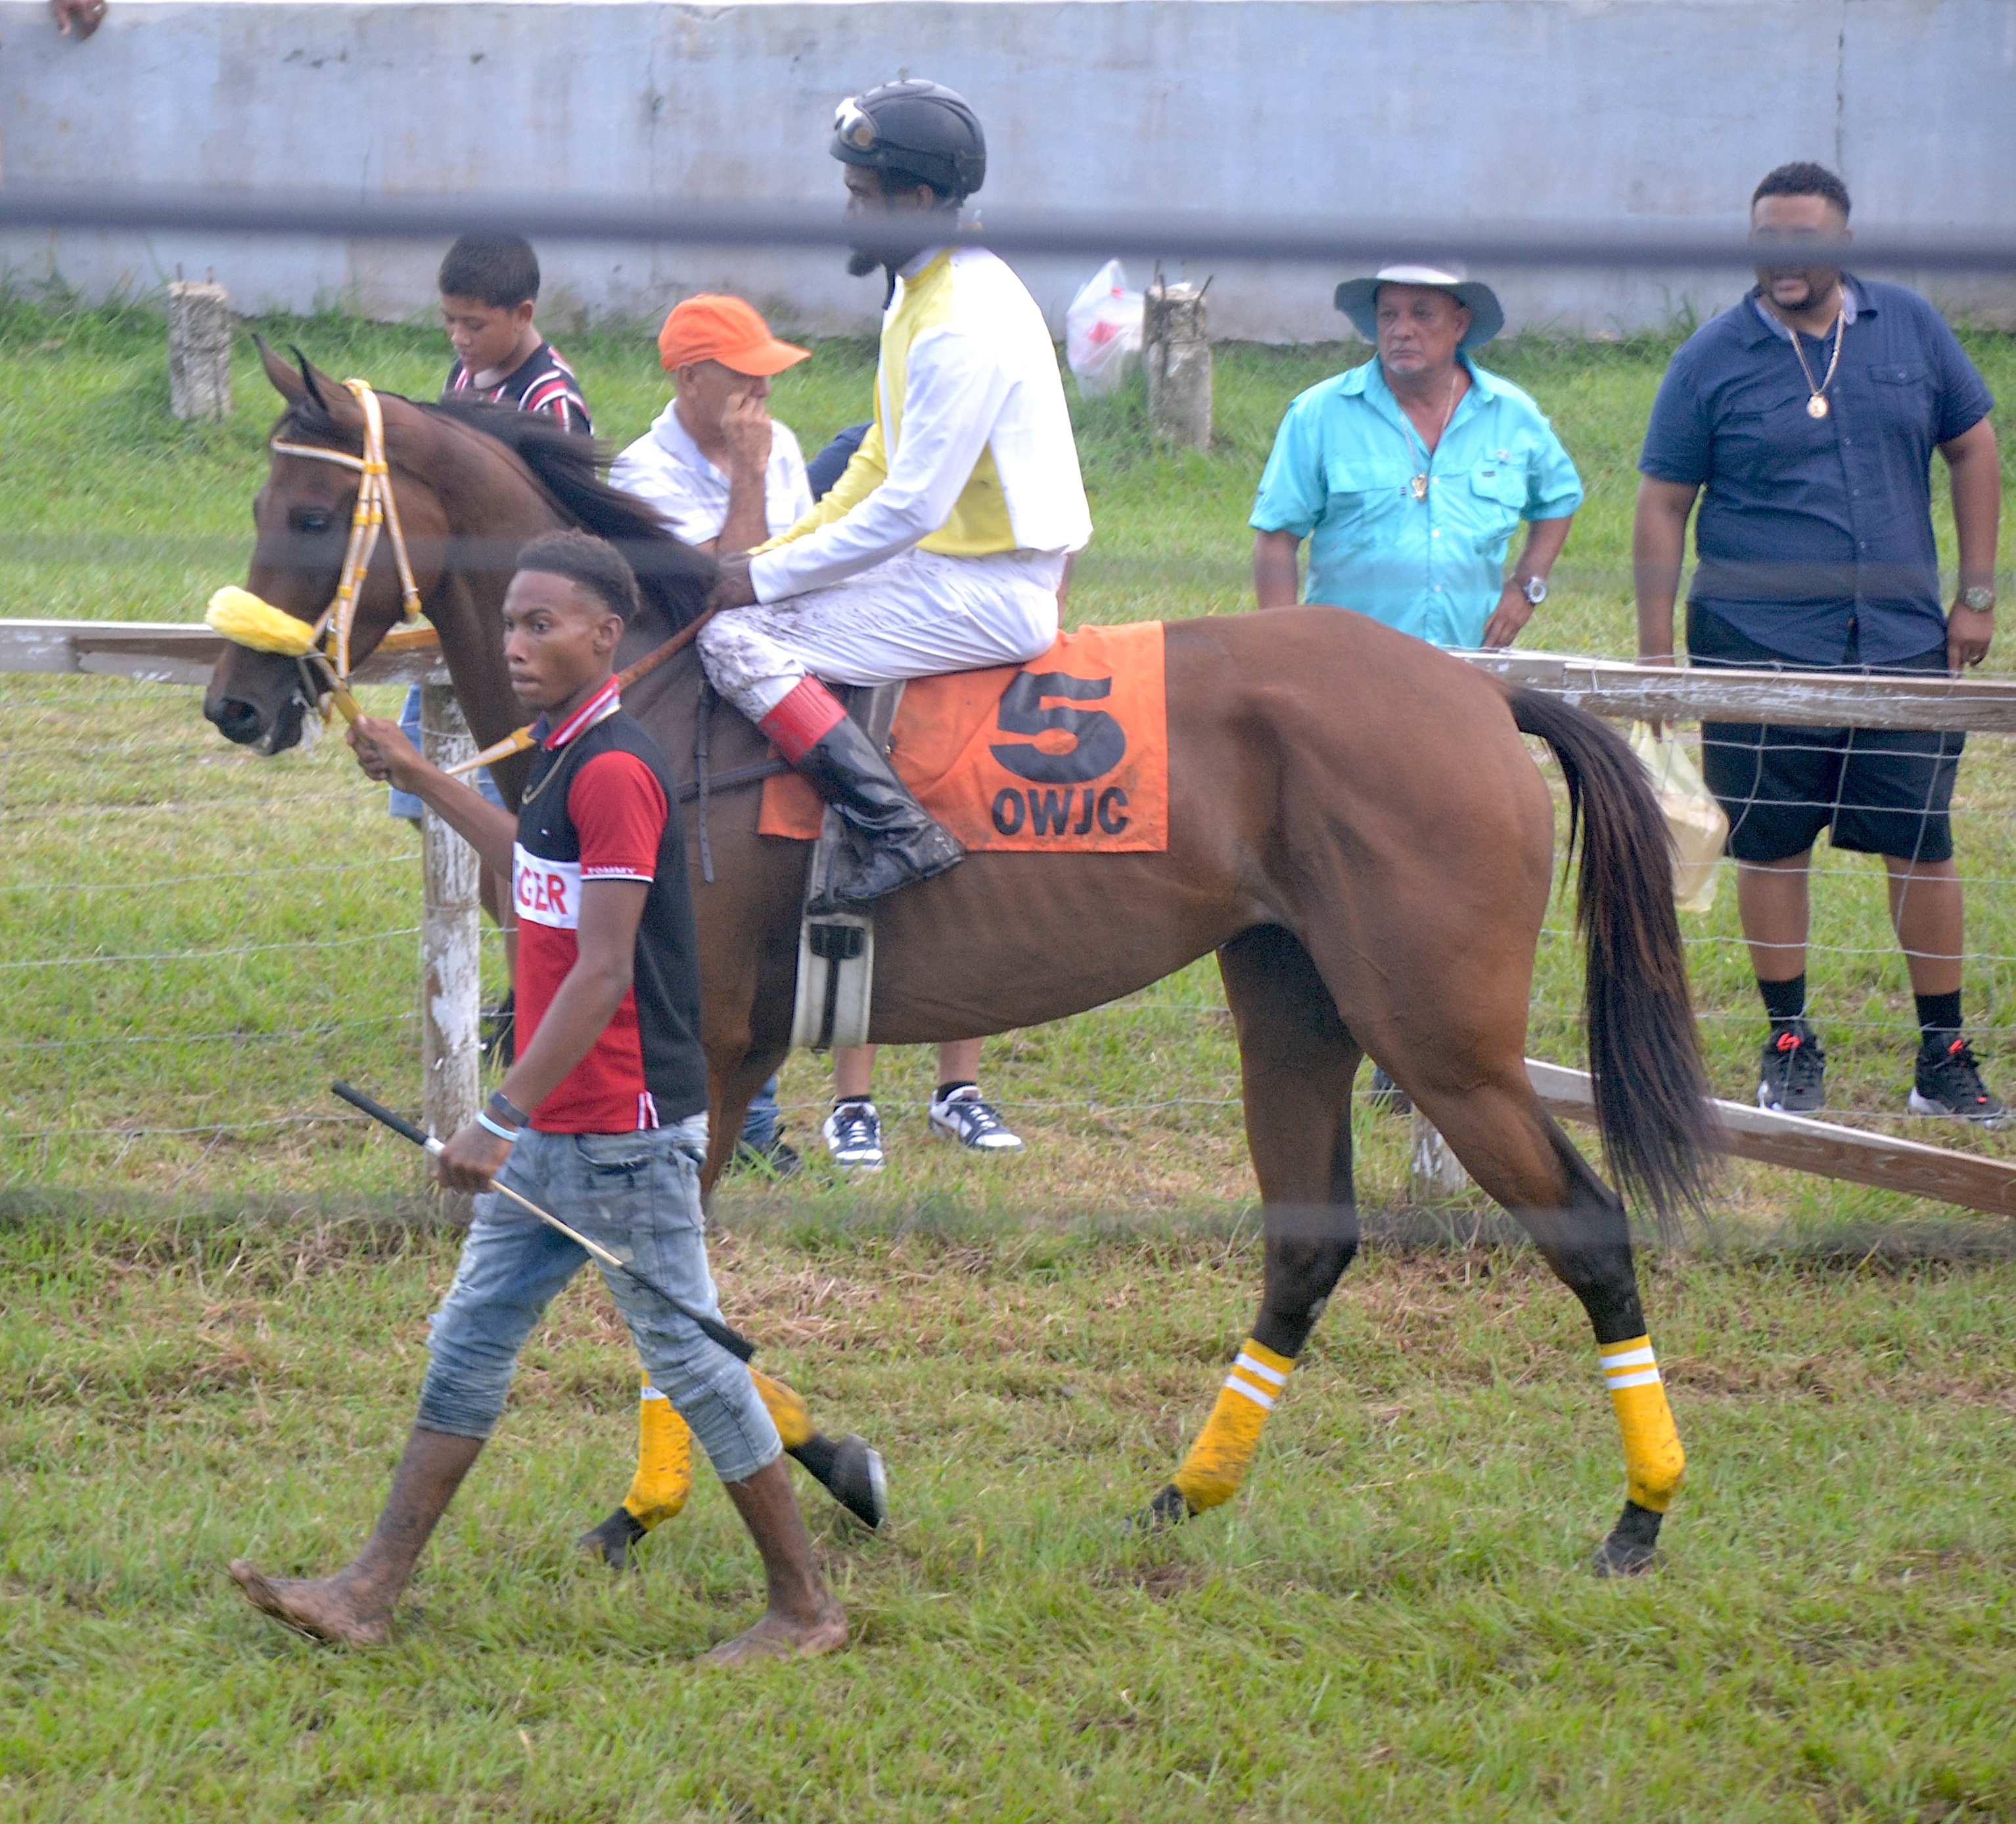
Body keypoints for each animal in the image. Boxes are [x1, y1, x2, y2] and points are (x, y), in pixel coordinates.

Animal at [208, 348, 1717, 1572]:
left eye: (305, 516)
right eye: (259, 508)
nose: (237, 702)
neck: (654, 687)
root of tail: (1472, 688)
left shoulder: (707, 1050)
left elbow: (663, 1295)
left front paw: (659, 1506)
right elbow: (662, 1293)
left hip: (1440, 1035)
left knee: (1583, 1225)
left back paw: (1640, 1513)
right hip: (1294, 999)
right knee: (1306, 1242)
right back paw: (1184, 1494)